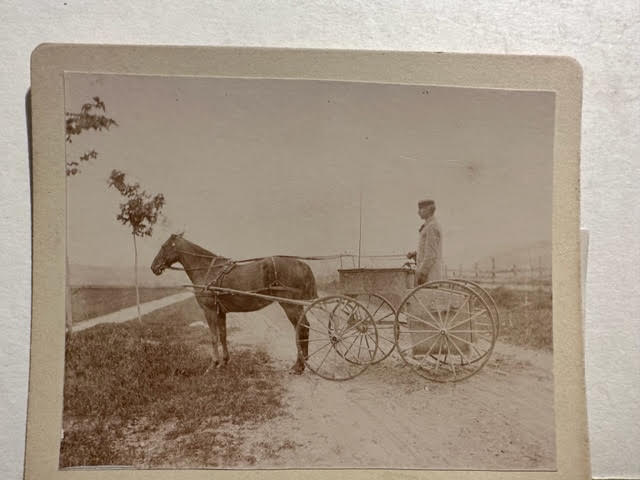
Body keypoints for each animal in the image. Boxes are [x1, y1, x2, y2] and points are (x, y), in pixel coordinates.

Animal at [151, 233, 320, 376]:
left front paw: (213, 364)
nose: (153, 267)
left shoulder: (209, 310)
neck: (207, 270)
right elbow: (223, 335)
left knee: (302, 329)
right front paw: (224, 362)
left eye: (164, 246)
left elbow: (213, 337)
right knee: (303, 328)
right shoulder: (220, 312)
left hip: (290, 305)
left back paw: (298, 366)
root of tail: (301, 264)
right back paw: (302, 363)